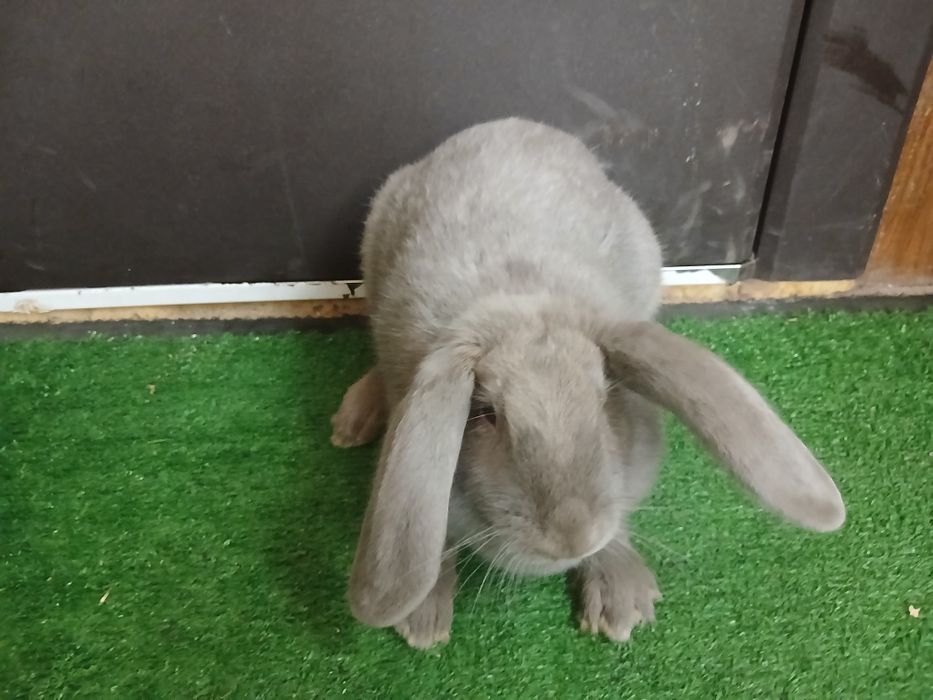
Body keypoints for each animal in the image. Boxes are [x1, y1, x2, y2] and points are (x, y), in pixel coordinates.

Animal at [331, 117, 846, 649]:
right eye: (486, 413)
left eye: (604, 398)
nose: (570, 536)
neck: (520, 300)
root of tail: (514, 124)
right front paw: (422, 622)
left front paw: (623, 605)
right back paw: (352, 422)